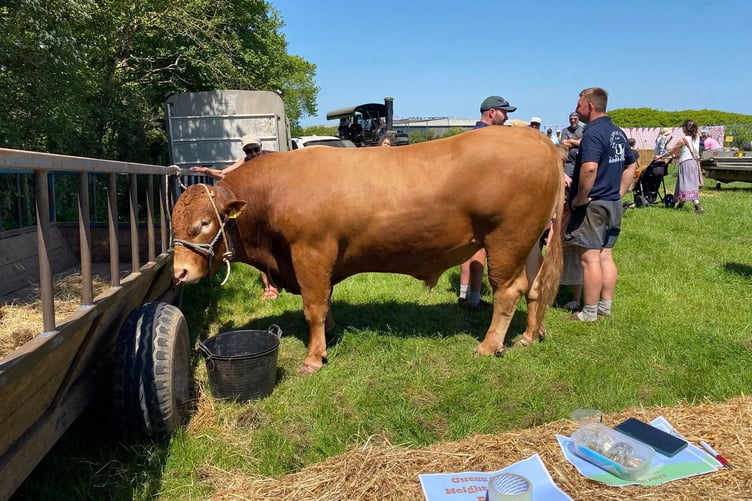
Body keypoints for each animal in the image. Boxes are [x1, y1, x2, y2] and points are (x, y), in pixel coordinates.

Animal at [172, 126, 564, 374]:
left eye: (204, 223)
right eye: (173, 222)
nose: (179, 271)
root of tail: (535, 138)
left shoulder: (309, 252)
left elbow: (313, 307)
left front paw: (313, 357)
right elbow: (325, 301)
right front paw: (329, 336)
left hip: (505, 239)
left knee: (509, 291)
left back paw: (488, 346)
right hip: (529, 242)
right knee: (534, 287)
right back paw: (528, 337)